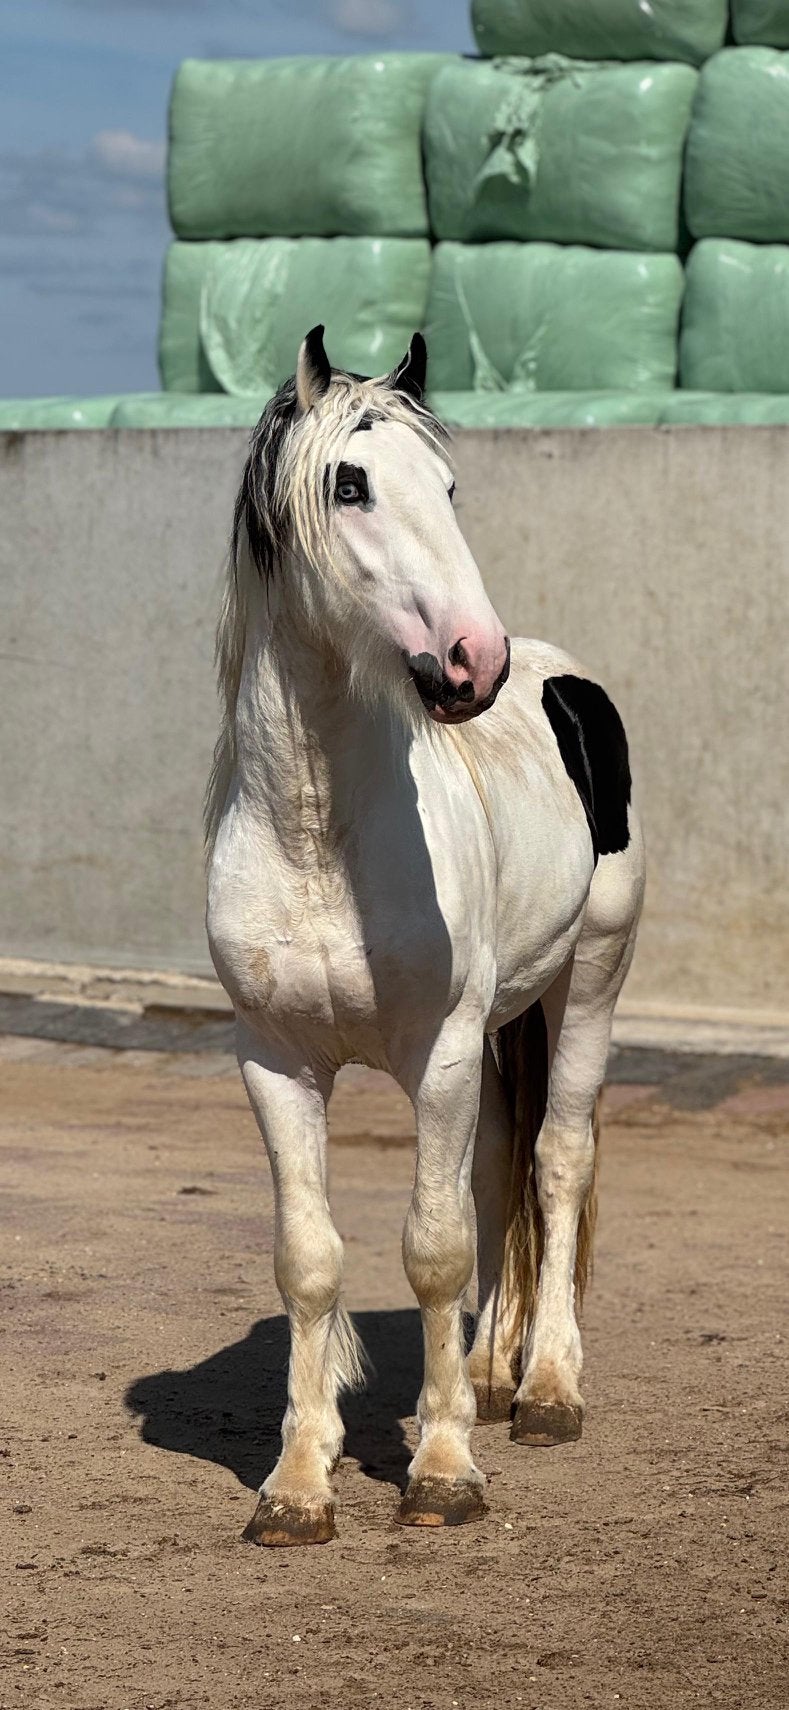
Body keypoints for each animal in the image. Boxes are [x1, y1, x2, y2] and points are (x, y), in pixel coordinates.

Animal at [205, 325, 645, 1546]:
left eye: (447, 487)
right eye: (348, 484)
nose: (469, 661)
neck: (319, 833)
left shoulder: (437, 1052)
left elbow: (434, 1250)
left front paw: (443, 1470)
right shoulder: (274, 1064)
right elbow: (310, 1261)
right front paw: (298, 1485)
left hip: (587, 984)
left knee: (555, 1162)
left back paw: (545, 1390)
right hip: (499, 1028)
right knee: (499, 1165)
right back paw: (493, 1373)